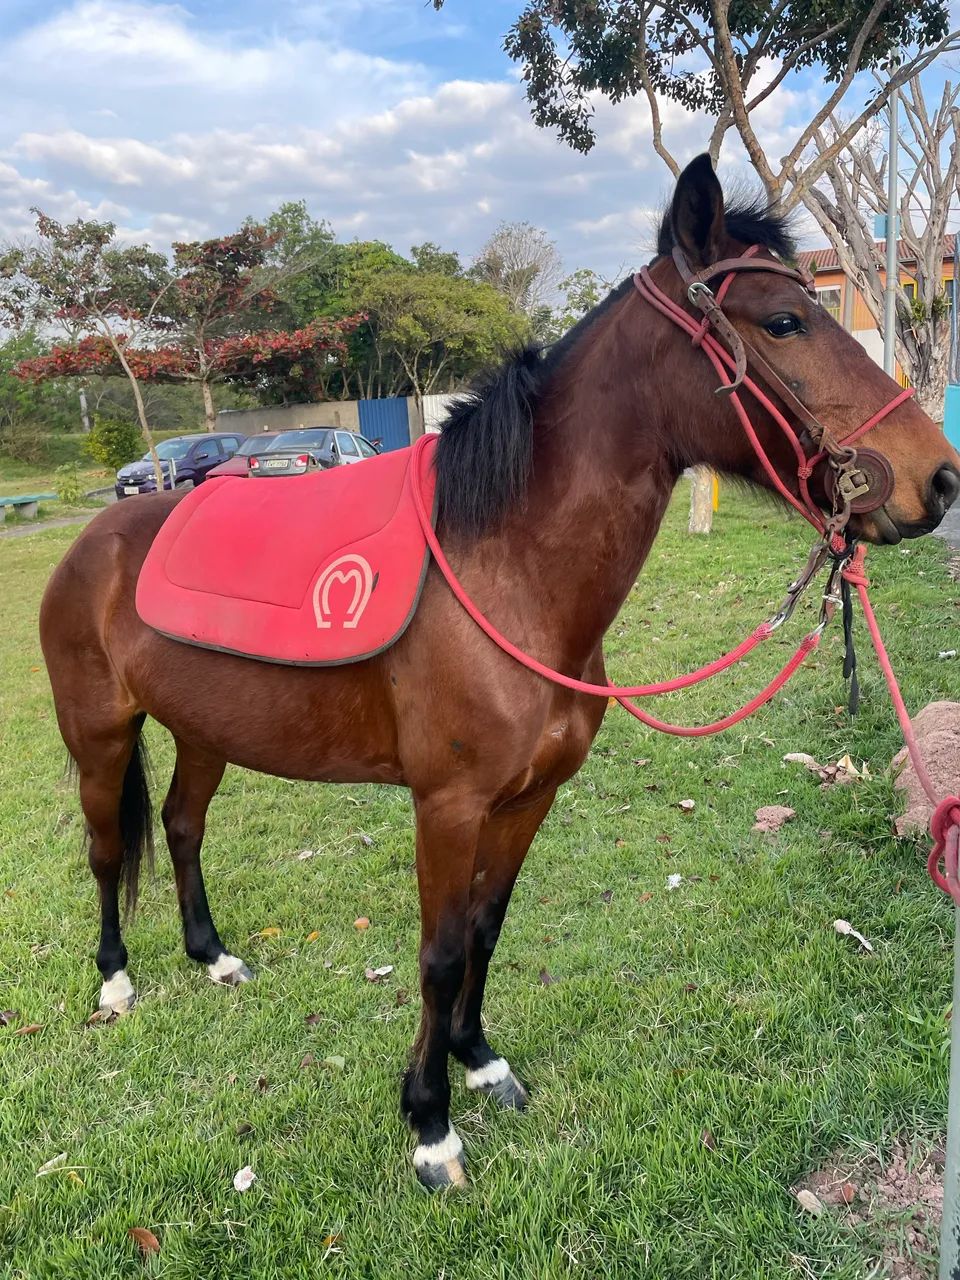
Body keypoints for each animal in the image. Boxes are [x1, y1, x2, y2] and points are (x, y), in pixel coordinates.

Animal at [40, 155, 960, 1190]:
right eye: (784, 322)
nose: (938, 479)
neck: (506, 572)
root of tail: (97, 539)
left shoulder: (528, 797)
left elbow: (487, 927)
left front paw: (478, 1061)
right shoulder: (447, 806)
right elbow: (440, 953)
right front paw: (429, 1122)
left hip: (205, 732)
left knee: (182, 826)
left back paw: (213, 956)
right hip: (100, 736)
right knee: (106, 850)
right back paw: (116, 980)